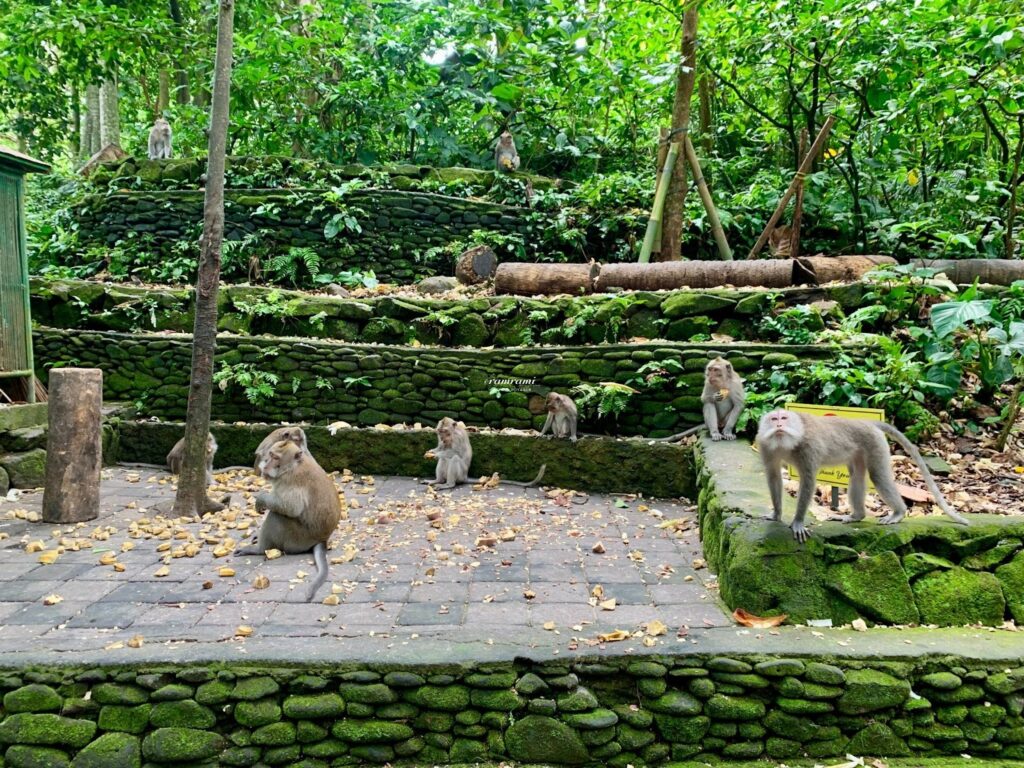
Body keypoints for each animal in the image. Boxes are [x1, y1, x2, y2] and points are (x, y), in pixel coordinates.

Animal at [235, 441, 342, 602]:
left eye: (275, 457)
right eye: (270, 455)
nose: (265, 465)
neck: (293, 465)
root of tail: (322, 539)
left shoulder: (290, 479)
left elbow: (291, 507)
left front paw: (261, 498)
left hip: (297, 539)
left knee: (276, 516)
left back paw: (258, 549)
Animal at [755, 409, 970, 543]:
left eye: (784, 418)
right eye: (774, 419)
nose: (779, 424)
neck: (785, 442)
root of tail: (865, 422)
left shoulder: (808, 447)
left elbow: (808, 481)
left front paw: (798, 522)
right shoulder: (765, 446)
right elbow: (773, 476)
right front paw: (776, 514)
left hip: (874, 443)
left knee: (879, 476)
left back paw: (898, 513)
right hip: (859, 451)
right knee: (857, 477)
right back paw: (857, 516)